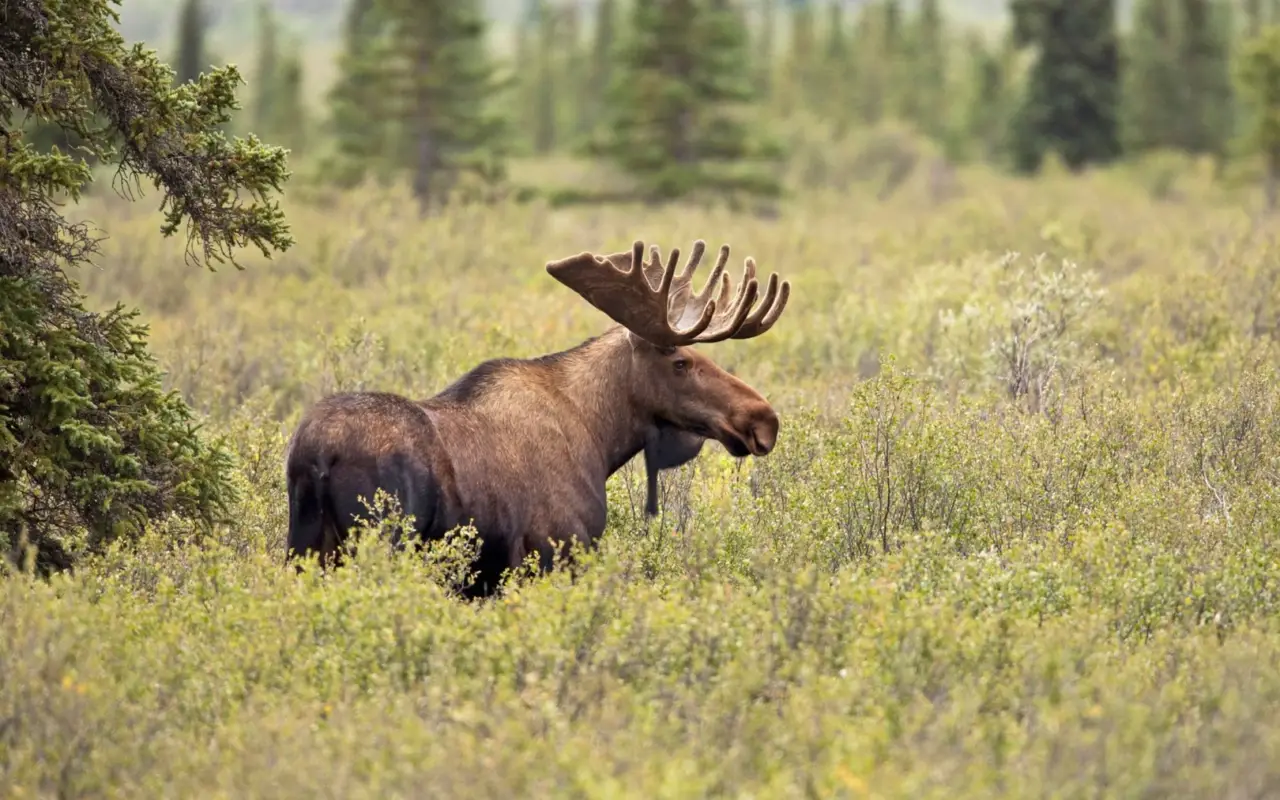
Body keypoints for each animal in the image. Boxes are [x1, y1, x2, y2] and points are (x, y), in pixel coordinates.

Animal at [283, 237, 791, 598]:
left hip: (304, 545)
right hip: (381, 541)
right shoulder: (557, 551)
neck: (600, 436)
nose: (763, 419)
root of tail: (316, 455)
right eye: (682, 362)